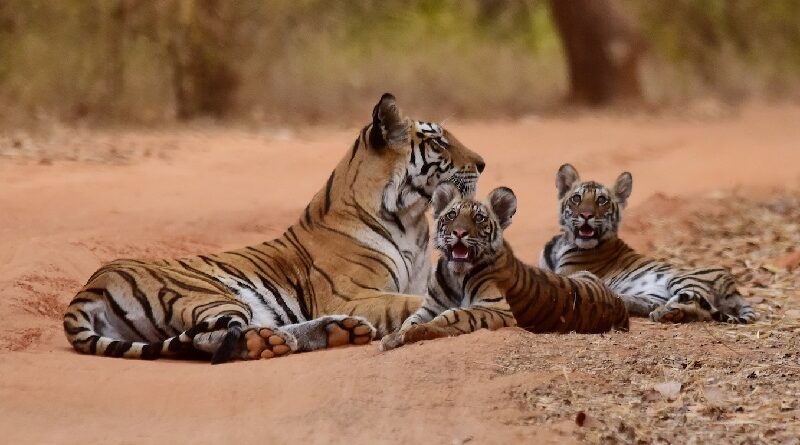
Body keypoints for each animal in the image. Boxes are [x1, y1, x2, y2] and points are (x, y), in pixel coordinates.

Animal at [62, 93, 484, 360]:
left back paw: (338, 332)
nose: (482, 163)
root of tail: (90, 285)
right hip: (210, 294)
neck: (411, 220)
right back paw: (276, 343)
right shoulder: (352, 294)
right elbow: (411, 303)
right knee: (211, 338)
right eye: (439, 142)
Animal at [378, 182, 628, 348]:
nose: (459, 232)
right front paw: (394, 337)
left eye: (479, 218)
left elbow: (454, 314)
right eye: (451, 215)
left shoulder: (496, 308)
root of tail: (619, 303)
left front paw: (417, 332)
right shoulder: (429, 306)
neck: (456, 274)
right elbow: (410, 320)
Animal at [536, 163, 756, 322]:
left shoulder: (568, 274)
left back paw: (664, 313)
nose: (586, 215)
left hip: (683, 279)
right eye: (576, 198)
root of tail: (733, 286)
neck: (563, 243)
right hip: (653, 294)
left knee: (696, 305)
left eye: (601, 200)